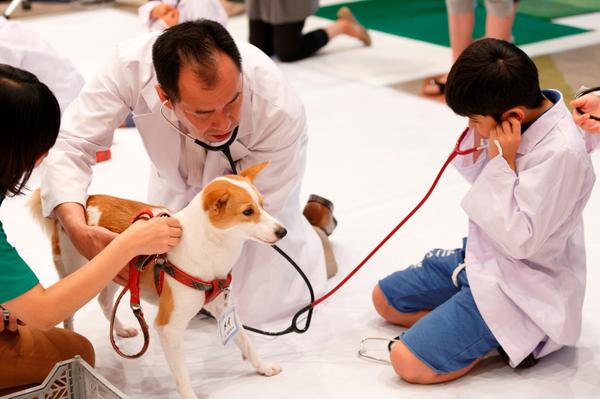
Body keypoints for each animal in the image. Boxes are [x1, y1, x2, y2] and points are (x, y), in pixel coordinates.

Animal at [29, 162, 288, 399]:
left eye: (263, 205)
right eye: (248, 212)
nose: (282, 231)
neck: (210, 245)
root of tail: (87, 200)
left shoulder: (222, 306)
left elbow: (246, 341)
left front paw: (263, 367)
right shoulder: (168, 328)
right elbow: (182, 375)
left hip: (112, 273)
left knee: (104, 302)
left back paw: (120, 330)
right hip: (78, 275)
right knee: (68, 315)